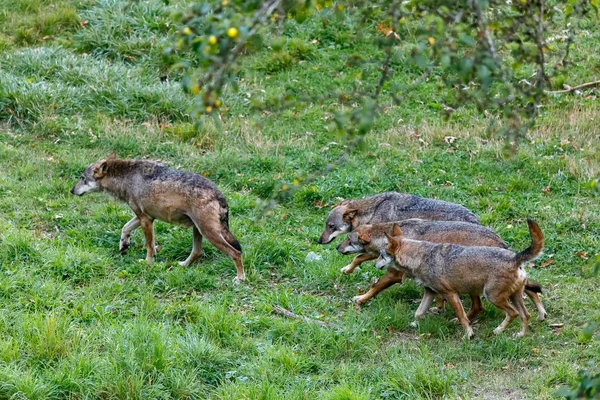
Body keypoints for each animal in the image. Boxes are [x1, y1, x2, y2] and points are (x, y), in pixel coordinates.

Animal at [71, 152, 246, 282]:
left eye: (82, 178)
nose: (72, 191)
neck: (126, 177)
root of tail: (219, 194)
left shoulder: (145, 220)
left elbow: (150, 246)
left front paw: (148, 263)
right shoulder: (145, 217)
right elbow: (125, 228)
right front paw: (124, 245)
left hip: (209, 233)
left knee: (235, 253)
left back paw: (240, 278)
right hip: (198, 230)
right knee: (198, 252)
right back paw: (182, 265)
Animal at [336, 219, 548, 322]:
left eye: (348, 240)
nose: (337, 247)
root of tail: (500, 241)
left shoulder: (394, 274)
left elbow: (374, 288)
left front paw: (361, 299)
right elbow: (359, 258)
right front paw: (347, 268)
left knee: (481, 306)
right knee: (530, 291)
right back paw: (541, 315)